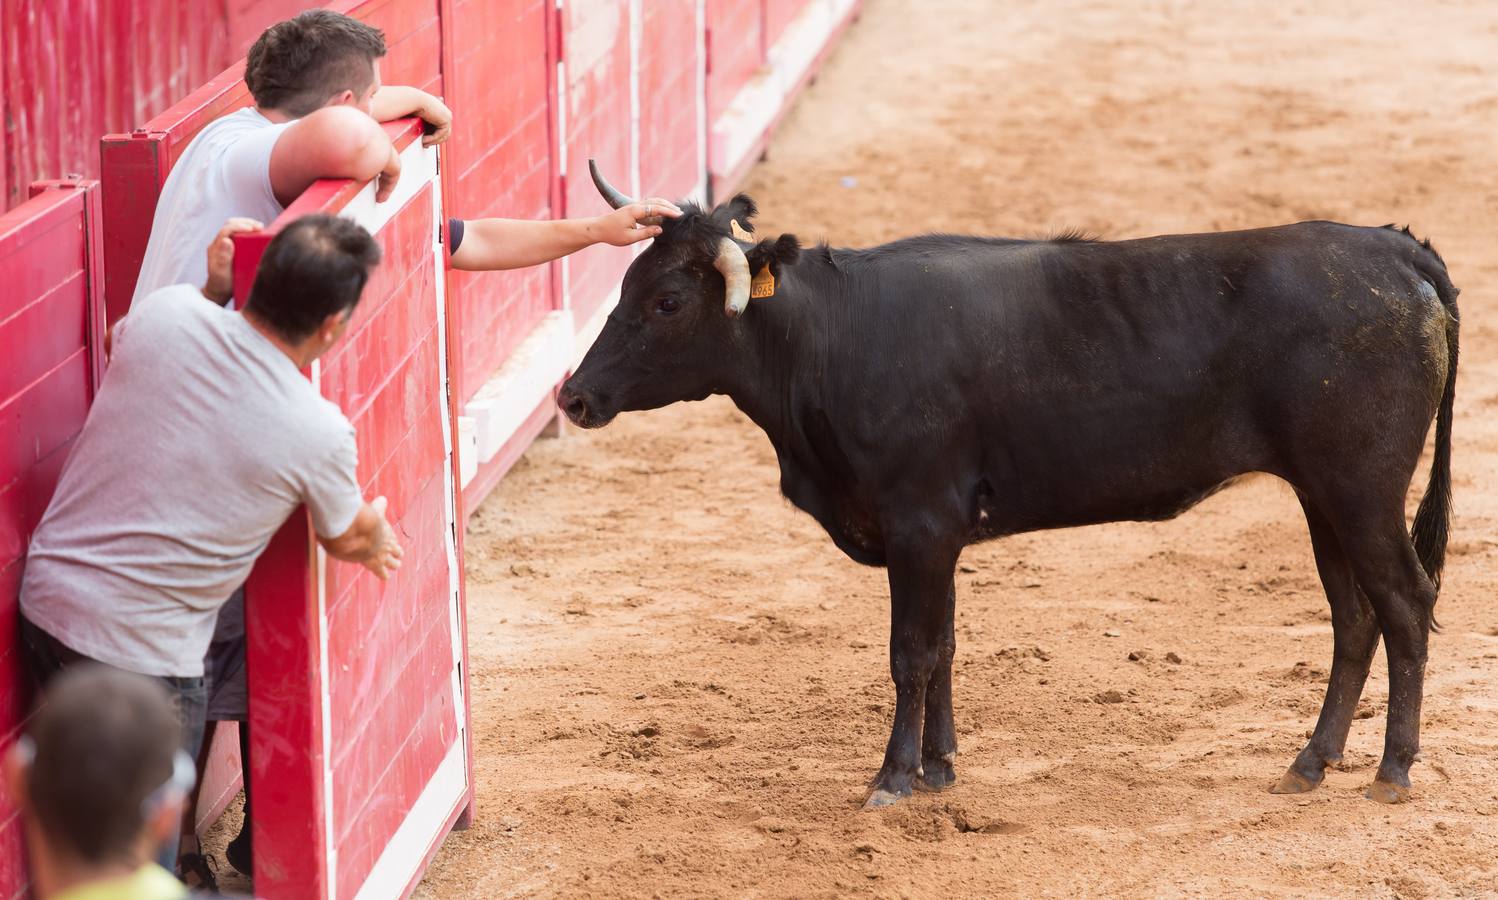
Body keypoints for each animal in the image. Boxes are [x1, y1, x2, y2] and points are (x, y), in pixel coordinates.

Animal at [557, 175, 1456, 808]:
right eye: (624, 286)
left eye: (667, 300)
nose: (575, 396)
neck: (831, 338)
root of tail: (1395, 249)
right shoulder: (938, 535)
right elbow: (945, 643)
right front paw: (940, 767)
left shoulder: (919, 525)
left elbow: (911, 652)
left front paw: (893, 778)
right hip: (1322, 496)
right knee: (1353, 615)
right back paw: (1311, 762)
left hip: (1361, 490)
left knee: (1404, 603)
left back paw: (1391, 770)